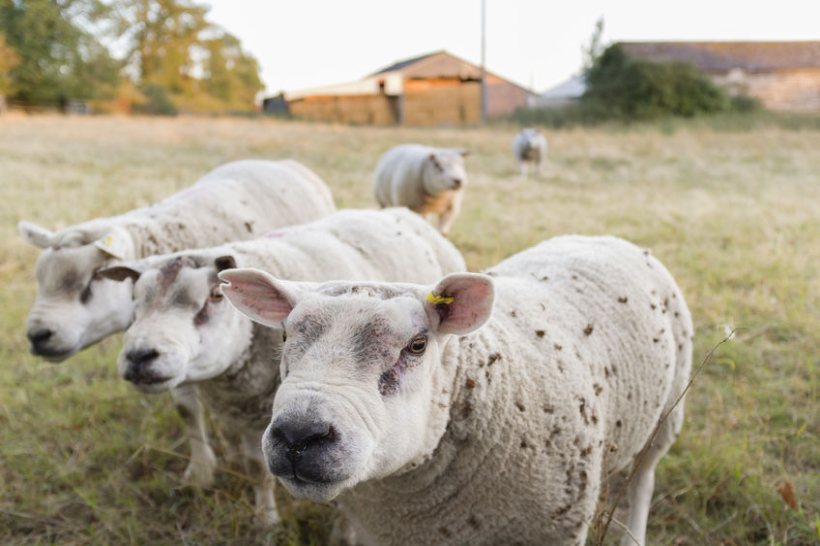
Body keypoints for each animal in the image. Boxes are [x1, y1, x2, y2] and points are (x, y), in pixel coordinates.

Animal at [17, 157, 336, 484]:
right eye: (40, 277)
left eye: (93, 278)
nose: (38, 335)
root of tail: (277, 161)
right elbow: (186, 409)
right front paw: (201, 471)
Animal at [94, 206, 468, 520]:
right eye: (134, 299)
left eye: (215, 296)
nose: (140, 356)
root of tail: (403, 212)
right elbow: (253, 465)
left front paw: (268, 520)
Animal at [219, 234, 692, 544]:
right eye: (284, 336)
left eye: (417, 345)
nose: (298, 435)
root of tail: (604, 236)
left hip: (666, 418)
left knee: (641, 483)